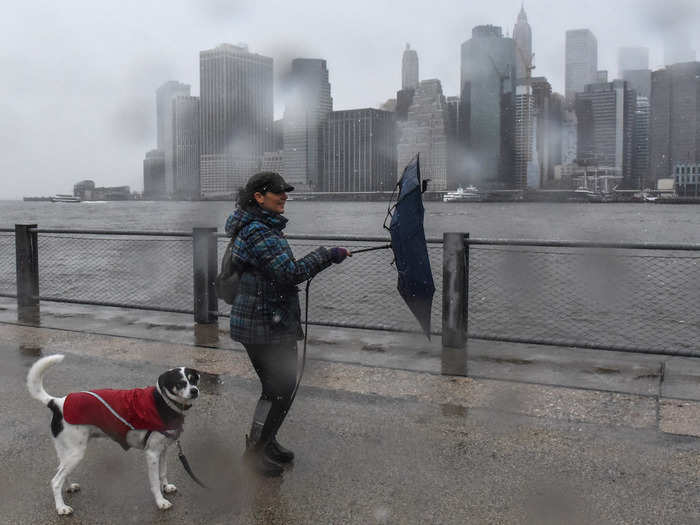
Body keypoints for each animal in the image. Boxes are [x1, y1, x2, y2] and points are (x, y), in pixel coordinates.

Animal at [26, 354, 200, 512]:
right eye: (181, 383)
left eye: (194, 380)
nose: (195, 391)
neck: (163, 402)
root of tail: (57, 402)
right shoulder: (152, 454)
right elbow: (155, 482)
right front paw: (160, 501)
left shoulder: (163, 450)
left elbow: (163, 473)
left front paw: (166, 487)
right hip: (76, 453)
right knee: (55, 481)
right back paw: (61, 508)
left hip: (67, 451)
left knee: (61, 471)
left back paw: (69, 487)